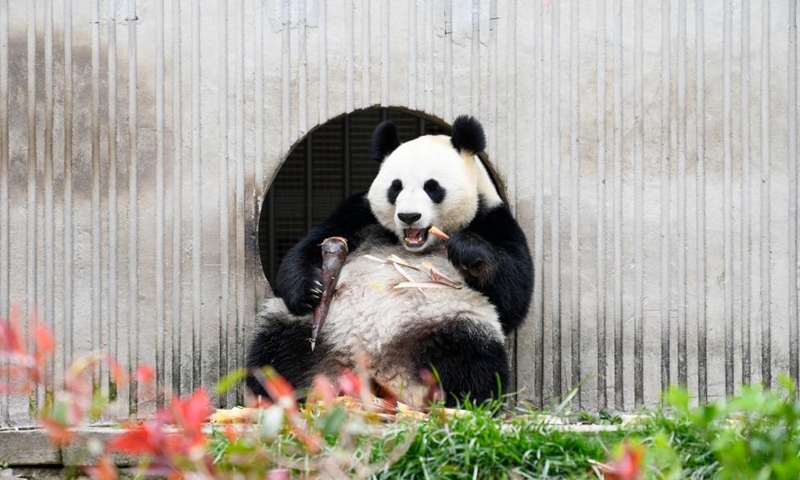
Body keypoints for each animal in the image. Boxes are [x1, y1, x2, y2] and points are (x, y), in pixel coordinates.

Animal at [246, 115, 533, 407]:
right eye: (396, 187)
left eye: (432, 187)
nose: (409, 216)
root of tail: (374, 372)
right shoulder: (358, 214)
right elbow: (309, 248)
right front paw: (309, 290)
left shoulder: (493, 220)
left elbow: (513, 294)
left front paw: (466, 249)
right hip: (314, 331)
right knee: (277, 353)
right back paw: (277, 396)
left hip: (448, 322)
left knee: (472, 359)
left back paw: (458, 402)